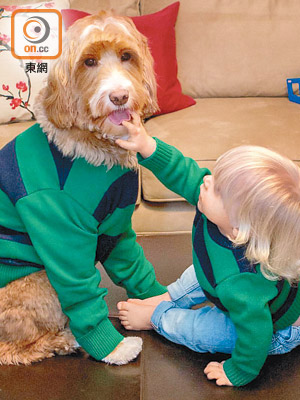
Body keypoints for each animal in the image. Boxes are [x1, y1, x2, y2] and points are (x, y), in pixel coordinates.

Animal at [0, 10, 164, 366]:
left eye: (127, 56)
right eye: (89, 61)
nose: (119, 97)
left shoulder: (116, 227)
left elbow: (133, 264)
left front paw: (158, 299)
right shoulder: (60, 228)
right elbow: (83, 292)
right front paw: (114, 348)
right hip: (39, 283)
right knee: (14, 351)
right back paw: (67, 340)